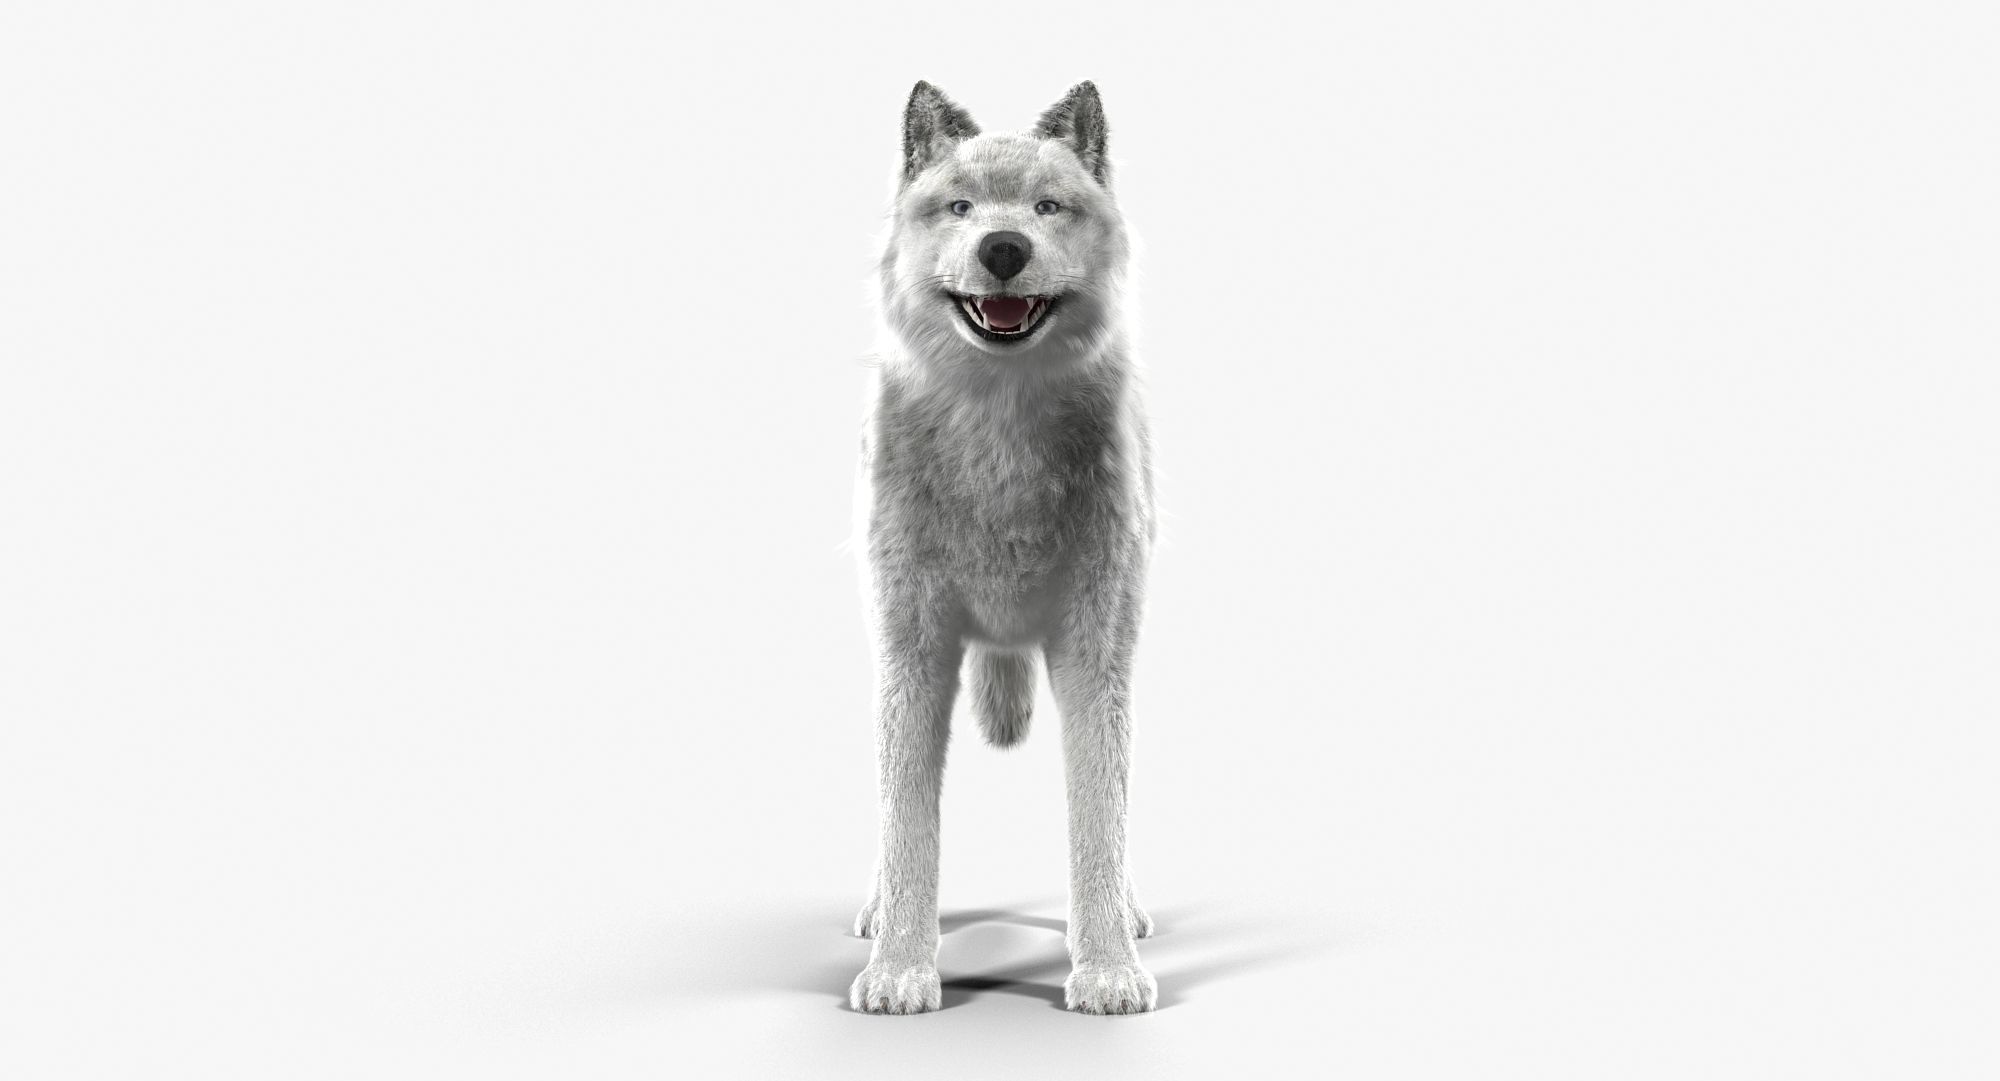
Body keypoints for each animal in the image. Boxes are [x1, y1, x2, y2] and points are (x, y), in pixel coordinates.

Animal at [848, 80, 1158, 1015]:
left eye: (1047, 207)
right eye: (960, 208)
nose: (1004, 247)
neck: (999, 443)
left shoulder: (1096, 657)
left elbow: (1099, 815)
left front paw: (1107, 971)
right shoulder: (912, 654)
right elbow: (907, 822)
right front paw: (901, 970)